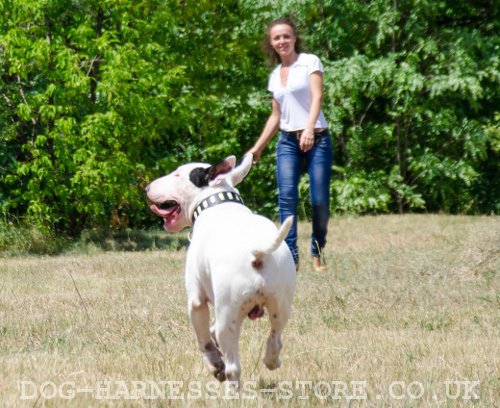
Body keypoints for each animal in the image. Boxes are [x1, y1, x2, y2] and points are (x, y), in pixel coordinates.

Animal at [145, 155, 294, 384]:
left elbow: (204, 340)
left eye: (177, 174)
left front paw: (214, 364)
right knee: (275, 339)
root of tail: (256, 251)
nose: (147, 187)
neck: (216, 202)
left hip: (228, 313)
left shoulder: (196, 301)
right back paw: (271, 360)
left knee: (233, 367)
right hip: (281, 305)